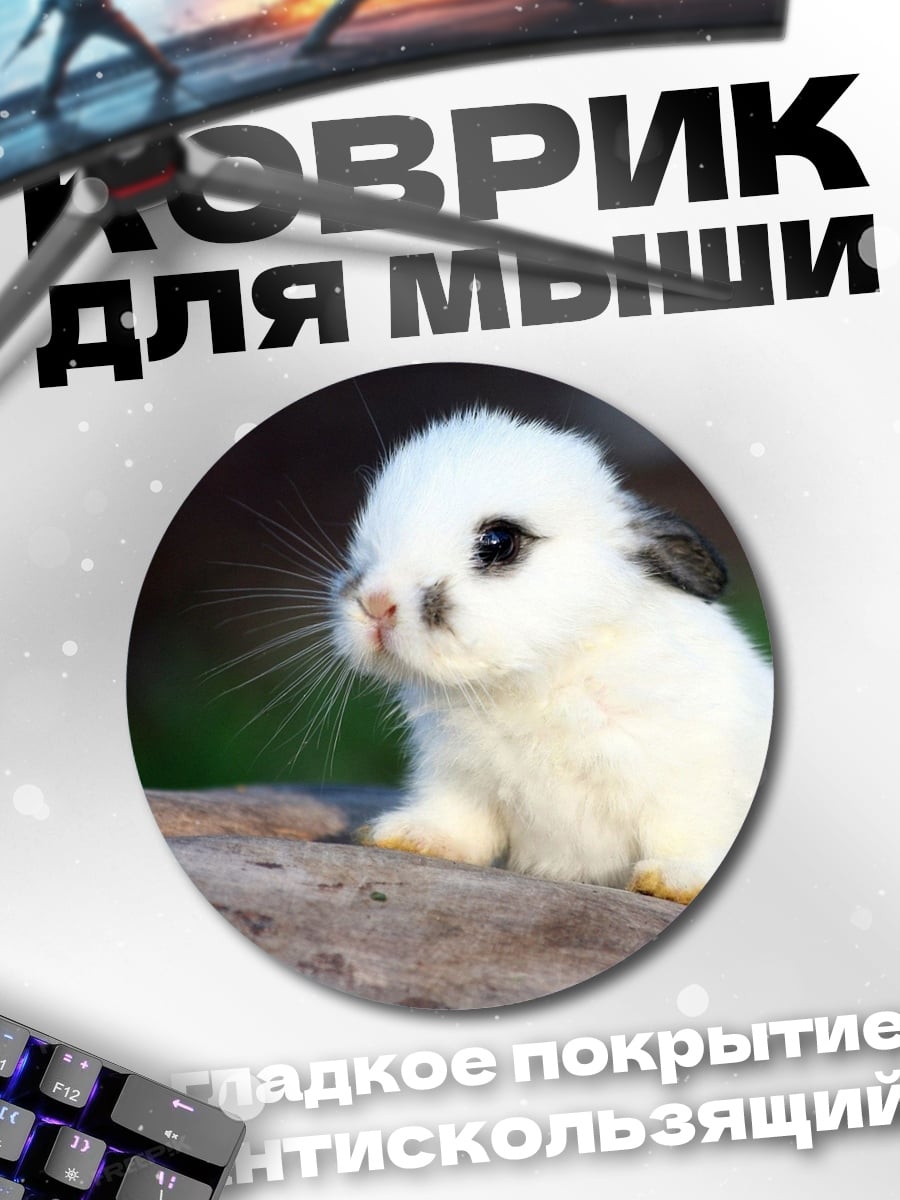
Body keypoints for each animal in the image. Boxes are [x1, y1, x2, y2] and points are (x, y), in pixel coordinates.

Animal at [330, 407, 774, 904]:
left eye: (498, 541)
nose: (376, 603)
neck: (538, 679)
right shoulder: (458, 779)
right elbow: (459, 824)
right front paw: (405, 836)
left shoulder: (692, 781)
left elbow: (687, 833)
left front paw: (672, 881)